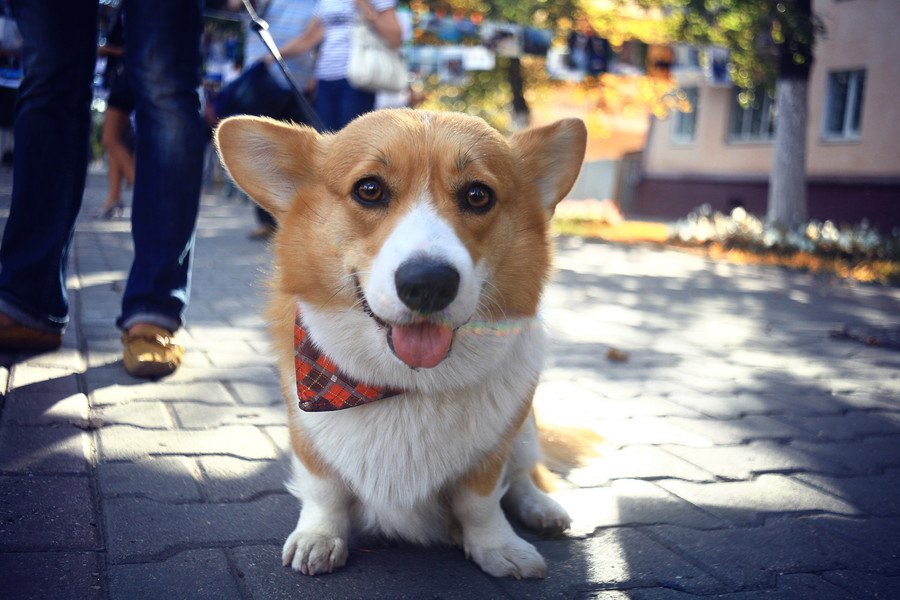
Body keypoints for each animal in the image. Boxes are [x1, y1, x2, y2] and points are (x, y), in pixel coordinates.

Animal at [215, 108, 588, 576]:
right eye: (369, 189)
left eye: (478, 195)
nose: (429, 283)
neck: (405, 385)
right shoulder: (305, 433)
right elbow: (324, 491)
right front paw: (319, 537)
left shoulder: (493, 451)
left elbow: (481, 503)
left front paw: (497, 547)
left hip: (525, 424)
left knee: (525, 474)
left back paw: (542, 509)